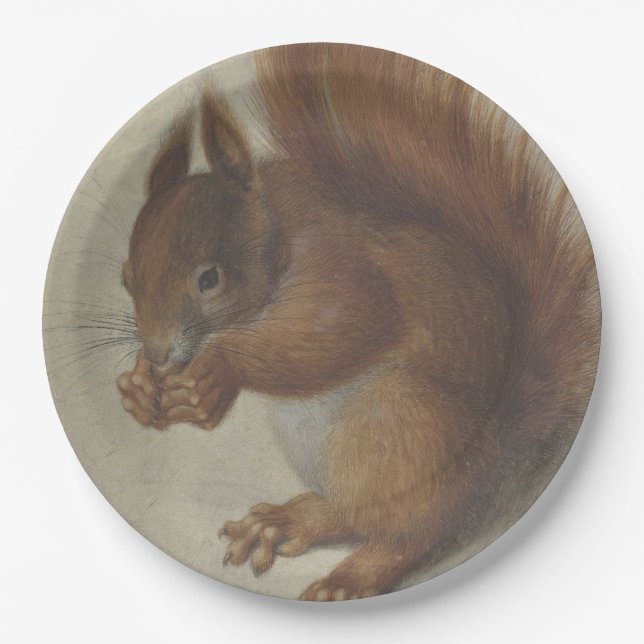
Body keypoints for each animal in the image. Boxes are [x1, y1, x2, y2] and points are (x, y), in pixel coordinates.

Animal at [116, 44, 600, 600]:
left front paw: (216, 373)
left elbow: (342, 327)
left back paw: (352, 576)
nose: (158, 354)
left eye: (210, 279)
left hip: (397, 426)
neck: (278, 230)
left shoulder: (350, 271)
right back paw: (288, 521)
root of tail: (495, 463)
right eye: (126, 278)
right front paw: (137, 388)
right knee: (354, 515)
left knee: (413, 532)